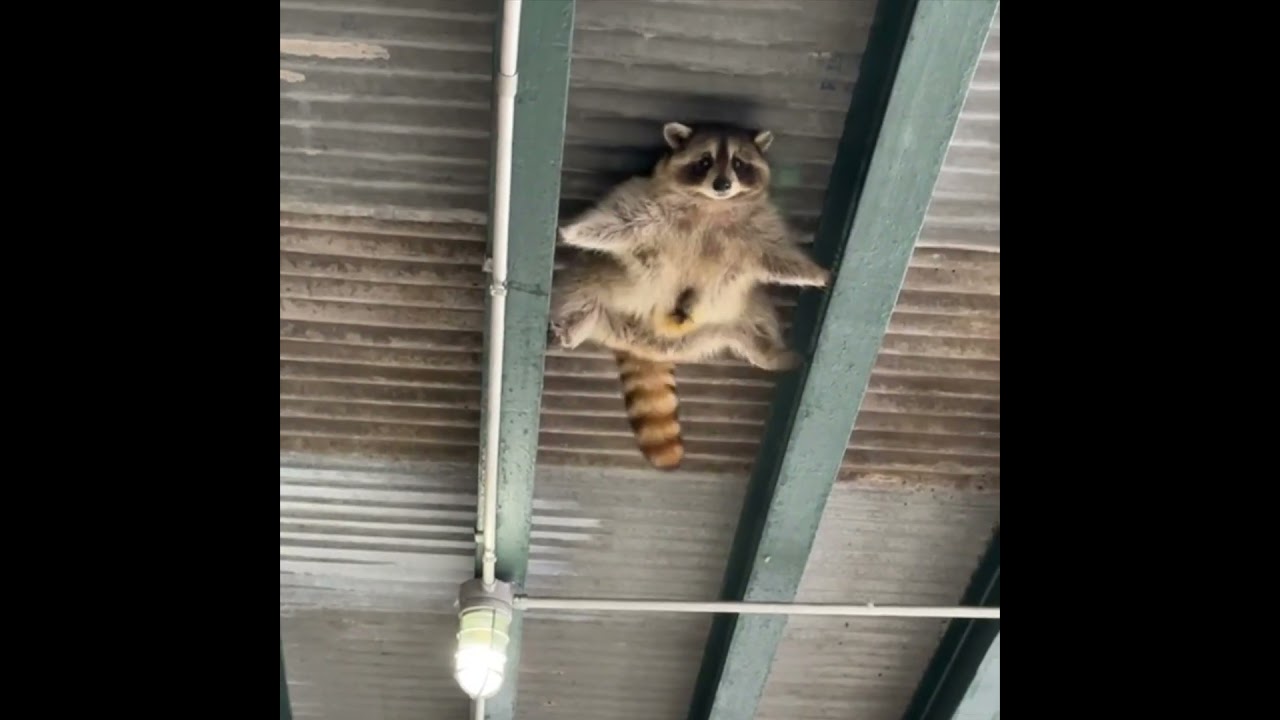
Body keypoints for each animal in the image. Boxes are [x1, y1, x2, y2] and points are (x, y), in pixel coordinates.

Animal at [549, 121, 830, 470]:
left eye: (739, 162)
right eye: (705, 161)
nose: (723, 184)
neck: (712, 204)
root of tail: (651, 346)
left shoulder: (758, 229)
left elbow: (779, 256)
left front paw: (814, 273)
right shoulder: (648, 205)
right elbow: (616, 222)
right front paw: (574, 231)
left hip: (733, 314)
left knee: (757, 324)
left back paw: (771, 353)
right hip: (603, 284)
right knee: (581, 289)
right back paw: (574, 323)